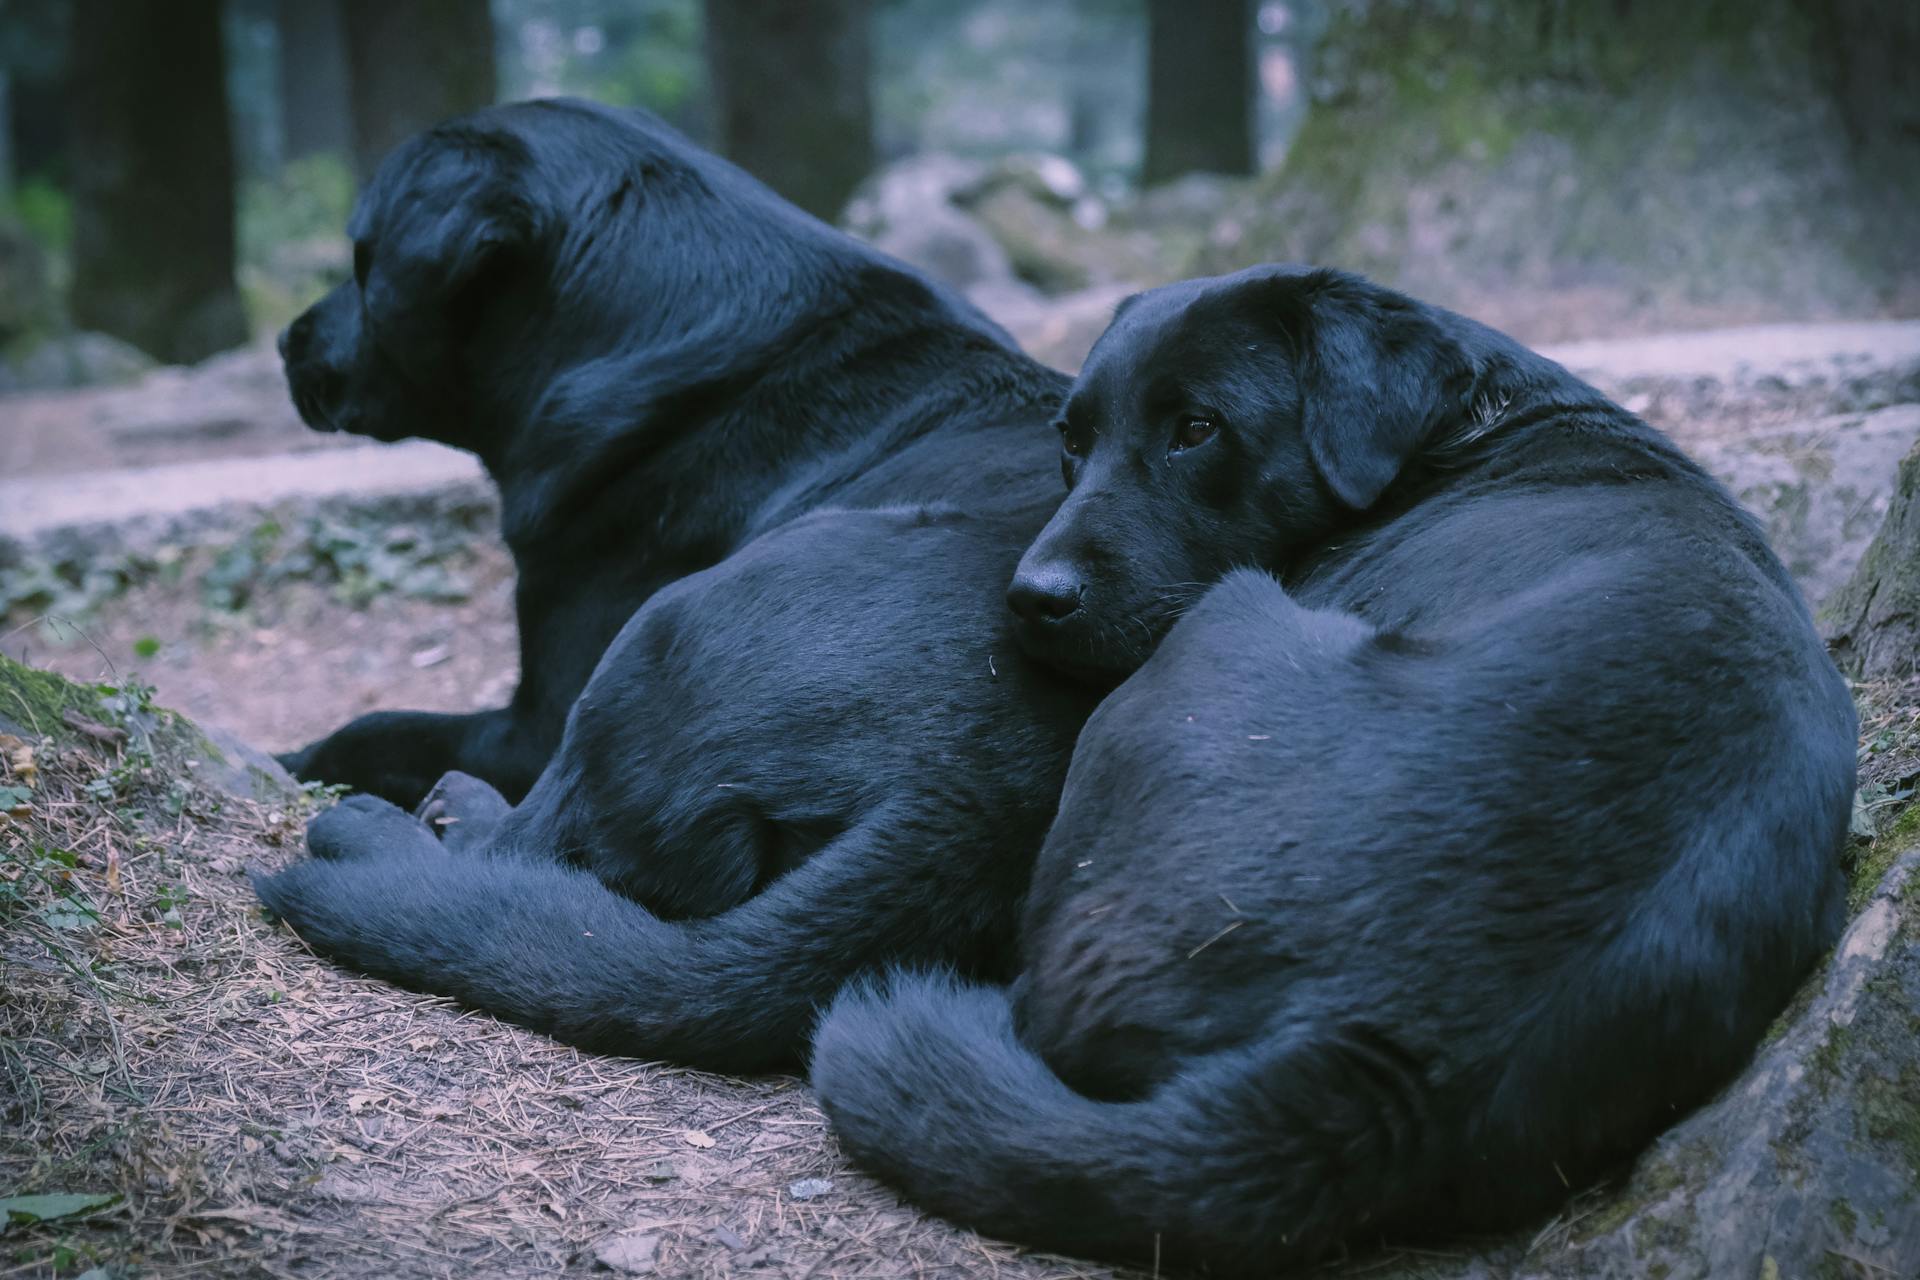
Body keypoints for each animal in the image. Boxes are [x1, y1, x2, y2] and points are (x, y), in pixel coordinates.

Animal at [814, 264, 1858, 1274]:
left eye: (1198, 429)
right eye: (1070, 441)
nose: (1033, 598)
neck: (1467, 426)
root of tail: (1378, 1055)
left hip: (1221, 625)